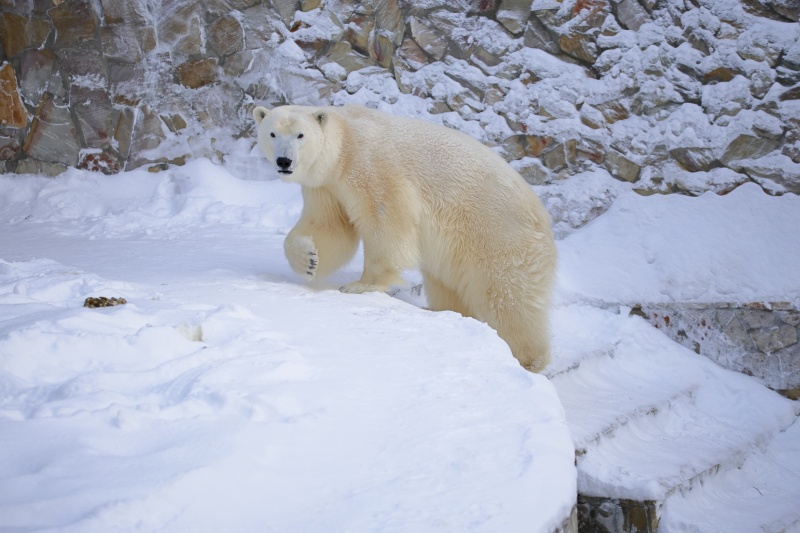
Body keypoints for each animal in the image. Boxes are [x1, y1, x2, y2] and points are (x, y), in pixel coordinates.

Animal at [253, 103, 552, 370]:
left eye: (300, 135)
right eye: (273, 133)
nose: (284, 161)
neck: (344, 147)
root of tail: (542, 215)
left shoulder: (370, 166)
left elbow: (385, 218)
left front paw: (360, 285)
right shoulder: (326, 187)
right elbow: (328, 226)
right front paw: (309, 259)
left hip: (498, 233)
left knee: (506, 294)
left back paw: (528, 358)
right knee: (448, 285)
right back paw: (440, 311)